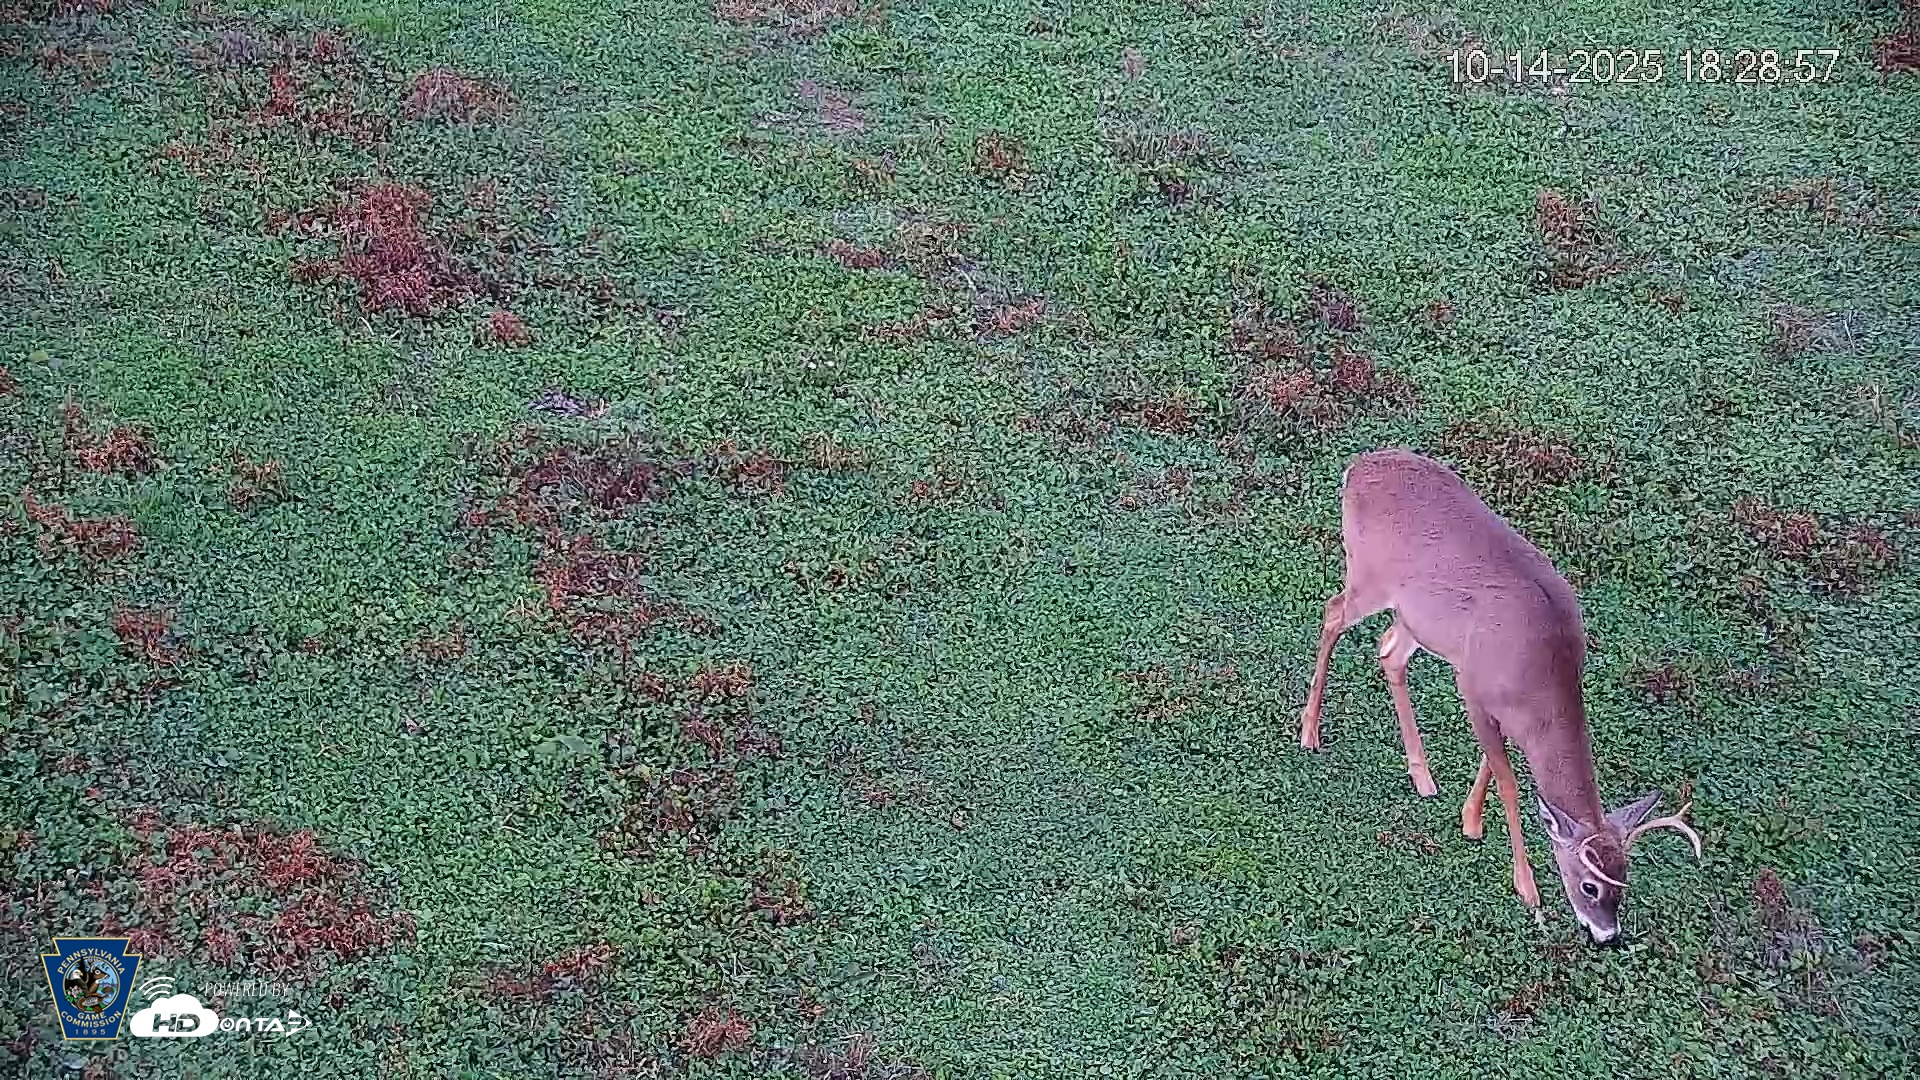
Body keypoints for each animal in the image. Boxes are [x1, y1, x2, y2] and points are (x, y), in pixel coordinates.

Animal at [1297, 448, 1700, 943]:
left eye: (1624, 878)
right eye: (1589, 885)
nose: (1608, 935)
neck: (1545, 677)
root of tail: (1357, 467)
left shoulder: (1500, 703)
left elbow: (1493, 762)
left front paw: (1469, 819)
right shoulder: (1472, 686)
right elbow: (1508, 780)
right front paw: (1525, 885)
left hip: (1420, 619)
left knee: (1389, 651)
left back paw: (1422, 777)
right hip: (1369, 576)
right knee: (1332, 614)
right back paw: (1310, 731)